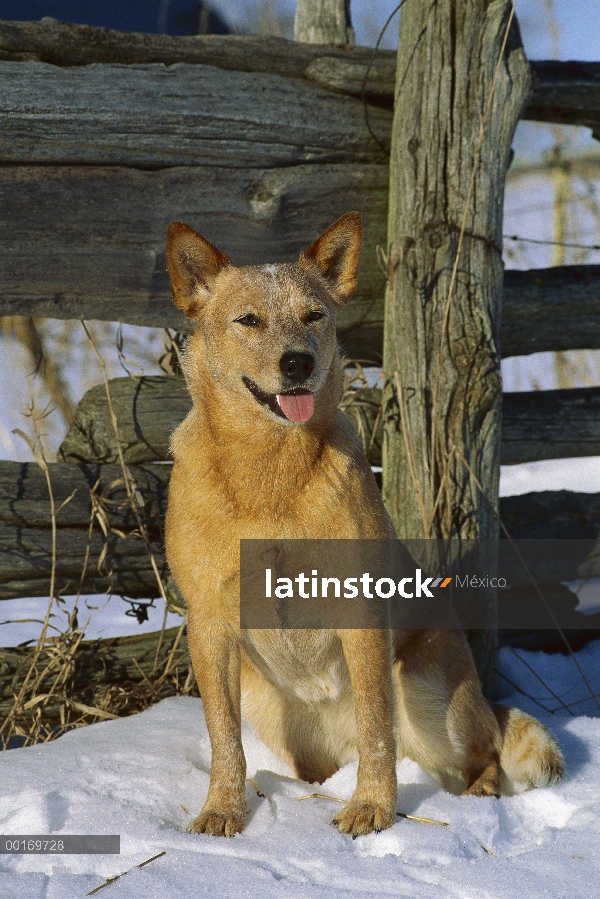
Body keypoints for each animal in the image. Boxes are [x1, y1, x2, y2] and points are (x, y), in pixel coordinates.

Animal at [163, 214, 564, 840]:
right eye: (249, 319)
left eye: (314, 315)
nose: (298, 363)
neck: (268, 476)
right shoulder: (209, 627)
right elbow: (224, 739)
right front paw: (223, 810)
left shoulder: (363, 617)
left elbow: (378, 728)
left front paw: (372, 807)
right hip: (269, 705)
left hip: (426, 690)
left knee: (479, 755)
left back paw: (474, 801)